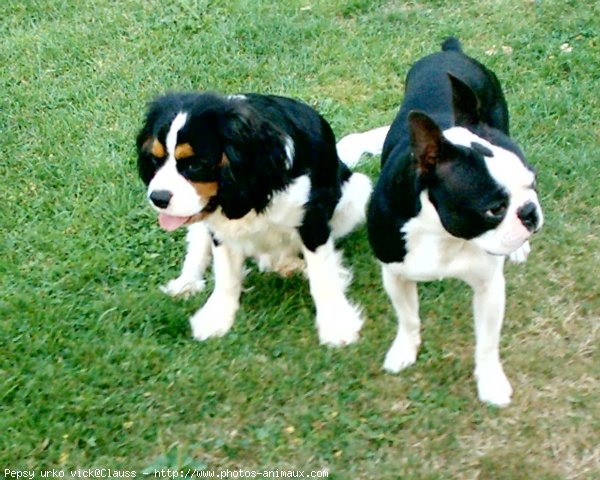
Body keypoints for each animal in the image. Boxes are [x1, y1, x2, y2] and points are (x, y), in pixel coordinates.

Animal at [137, 91, 370, 344]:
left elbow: (323, 274)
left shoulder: (312, 219)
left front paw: (336, 323)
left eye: (194, 165)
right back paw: (186, 282)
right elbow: (225, 273)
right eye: (155, 159)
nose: (157, 197)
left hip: (356, 194)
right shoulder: (220, 229)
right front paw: (217, 316)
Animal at [338, 37, 544, 404]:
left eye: (532, 183)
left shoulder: (489, 286)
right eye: (494, 209)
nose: (530, 212)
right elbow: (408, 318)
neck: (441, 232)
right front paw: (404, 351)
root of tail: (450, 51)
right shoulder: (395, 273)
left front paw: (490, 383)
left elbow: (487, 344)